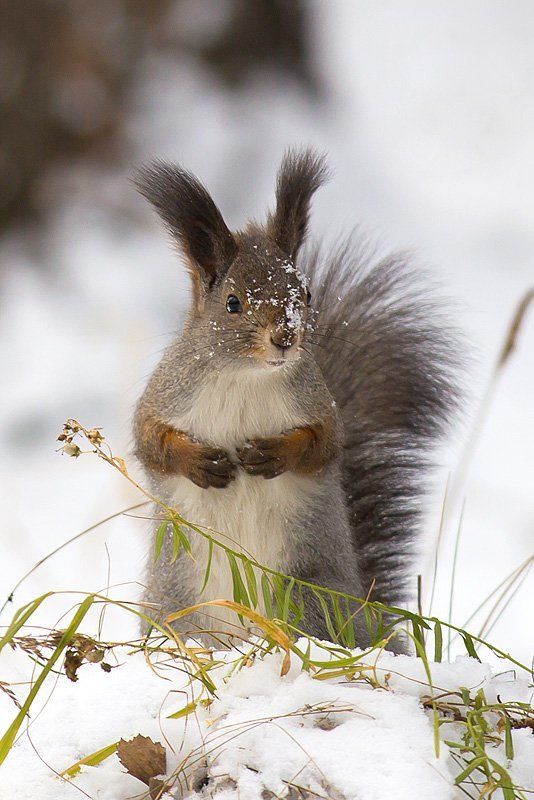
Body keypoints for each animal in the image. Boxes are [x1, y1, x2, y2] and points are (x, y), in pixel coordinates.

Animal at [133, 148, 459, 647]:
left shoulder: (318, 404)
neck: (247, 377)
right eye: (232, 303)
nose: (286, 337)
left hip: (307, 594)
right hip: (177, 604)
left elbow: (324, 444)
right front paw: (200, 462)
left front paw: (274, 454)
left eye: (304, 292)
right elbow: (149, 441)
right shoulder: (168, 392)